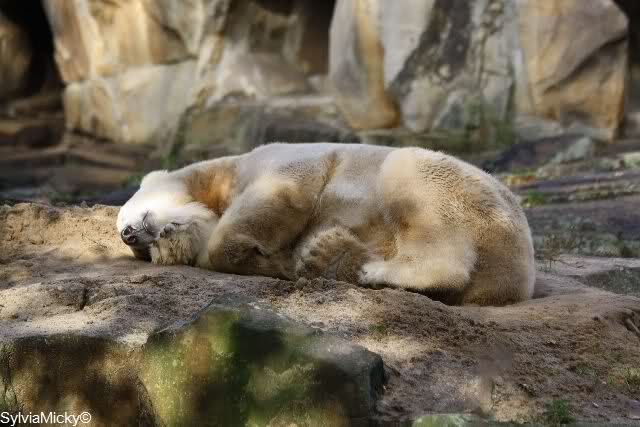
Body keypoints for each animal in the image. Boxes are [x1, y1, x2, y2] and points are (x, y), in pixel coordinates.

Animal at [116, 143, 535, 306]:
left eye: (128, 216)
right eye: (141, 252)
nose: (128, 234)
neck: (221, 178)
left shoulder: (281, 160)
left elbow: (285, 190)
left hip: (464, 194)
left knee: (409, 180)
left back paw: (378, 271)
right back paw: (330, 255)